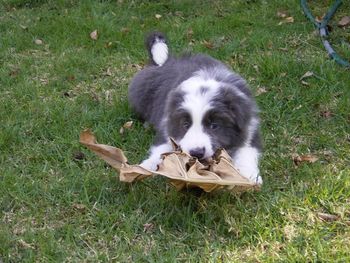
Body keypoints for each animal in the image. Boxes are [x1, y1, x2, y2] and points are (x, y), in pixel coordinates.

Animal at [129, 33, 262, 185]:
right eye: (186, 125)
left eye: (214, 126)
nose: (197, 153)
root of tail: (167, 61)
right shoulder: (166, 124)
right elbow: (161, 148)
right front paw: (145, 167)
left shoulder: (249, 127)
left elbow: (247, 150)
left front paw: (250, 176)